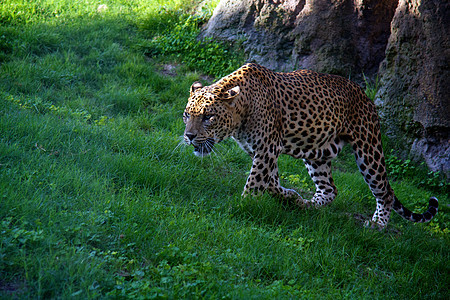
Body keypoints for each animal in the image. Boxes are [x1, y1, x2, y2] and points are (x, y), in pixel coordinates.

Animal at [182, 62, 436, 227]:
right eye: (186, 115)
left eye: (208, 117)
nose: (189, 136)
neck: (242, 109)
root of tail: (365, 95)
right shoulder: (263, 152)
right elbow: (271, 181)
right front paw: (289, 196)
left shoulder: (266, 149)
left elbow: (255, 182)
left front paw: (243, 206)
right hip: (318, 153)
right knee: (330, 189)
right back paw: (306, 205)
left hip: (369, 149)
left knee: (385, 191)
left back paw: (378, 224)